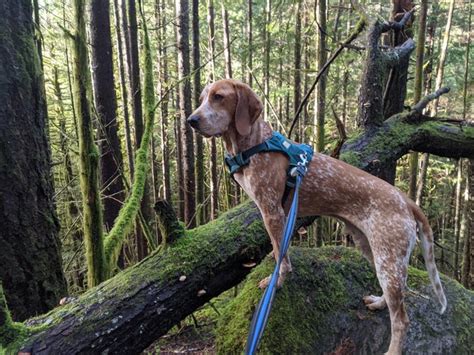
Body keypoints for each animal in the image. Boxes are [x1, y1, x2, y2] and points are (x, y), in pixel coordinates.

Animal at [187, 79, 446, 354]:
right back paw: (378, 302)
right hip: (373, 251)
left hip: (389, 260)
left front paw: (277, 282)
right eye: (202, 99)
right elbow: (282, 254)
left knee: (402, 320)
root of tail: (406, 201)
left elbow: (280, 257)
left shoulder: (272, 213)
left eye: (219, 97)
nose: (191, 120)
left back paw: (393, 349)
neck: (254, 145)